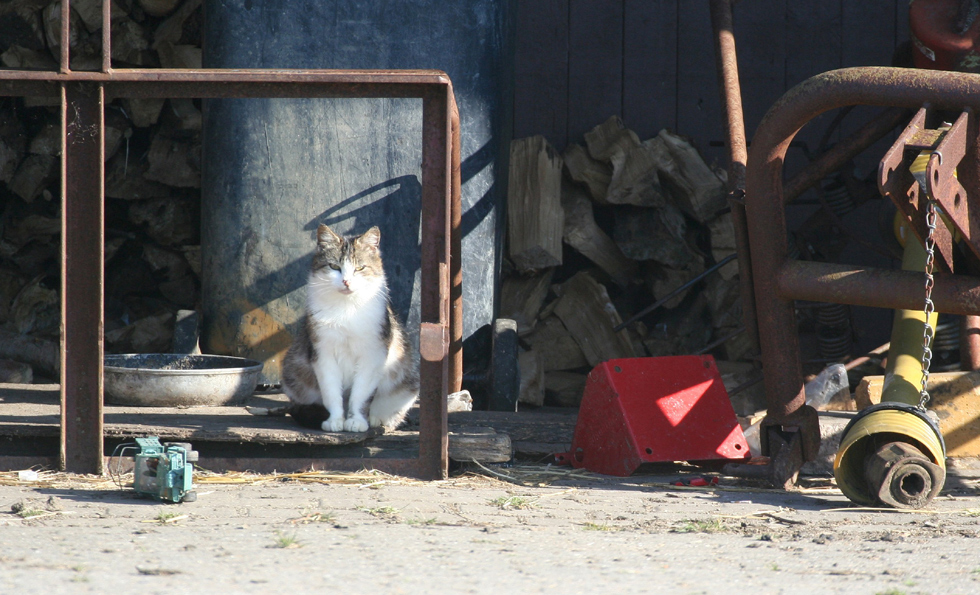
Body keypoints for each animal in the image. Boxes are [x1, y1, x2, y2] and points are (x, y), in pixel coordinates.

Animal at [284, 225, 422, 434]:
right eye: (334, 267)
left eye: (360, 268)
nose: (346, 282)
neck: (347, 308)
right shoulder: (323, 354)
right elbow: (331, 392)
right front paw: (335, 420)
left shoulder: (372, 356)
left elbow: (361, 395)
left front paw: (357, 420)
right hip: (291, 370)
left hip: (408, 382)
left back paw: (376, 419)